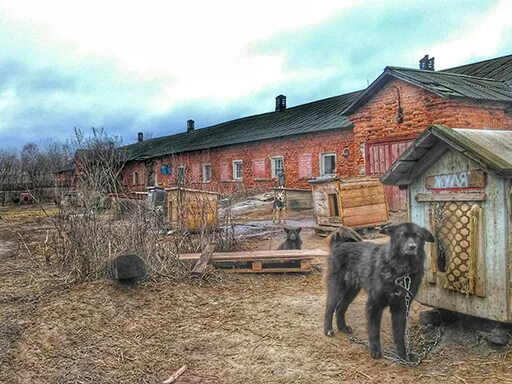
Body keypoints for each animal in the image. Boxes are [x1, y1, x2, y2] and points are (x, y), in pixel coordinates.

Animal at [322, 224, 434, 358]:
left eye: (418, 236)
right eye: (402, 235)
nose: (412, 247)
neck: (401, 271)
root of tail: (340, 244)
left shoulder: (401, 308)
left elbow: (399, 334)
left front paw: (403, 354)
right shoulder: (374, 305)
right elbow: (374, 331)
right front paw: (375, 351)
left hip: (352, 291)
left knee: (340, 308)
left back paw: (343, 328)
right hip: (336, 288)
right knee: (330, 309)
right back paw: (328, 330)